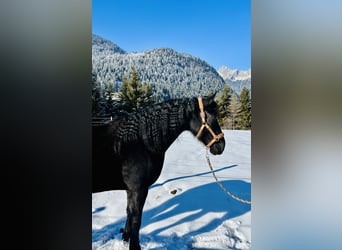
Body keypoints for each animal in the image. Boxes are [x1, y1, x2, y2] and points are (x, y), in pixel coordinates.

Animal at [92, 94, 226, 250]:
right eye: (210, 117)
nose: (221, 146)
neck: (139, 141)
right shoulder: (139, 190)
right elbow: (136, 219)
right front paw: (134, 246)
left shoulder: (131, 190)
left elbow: (129, 214)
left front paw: (125, 239)